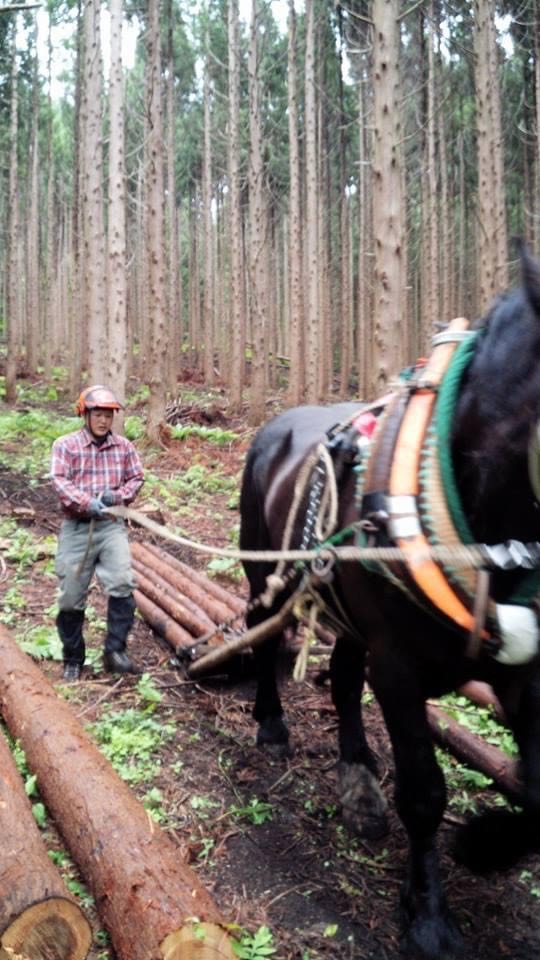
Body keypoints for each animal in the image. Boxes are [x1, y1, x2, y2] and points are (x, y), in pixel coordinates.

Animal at [239, 246, 540, 952]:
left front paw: (487, 846)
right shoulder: (400, 671)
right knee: (265, 635)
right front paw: (429, 917)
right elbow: (425, 795)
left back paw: (357, 774)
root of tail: (276, 425)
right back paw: (272, 724)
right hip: (265, 570)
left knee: (346, 675)